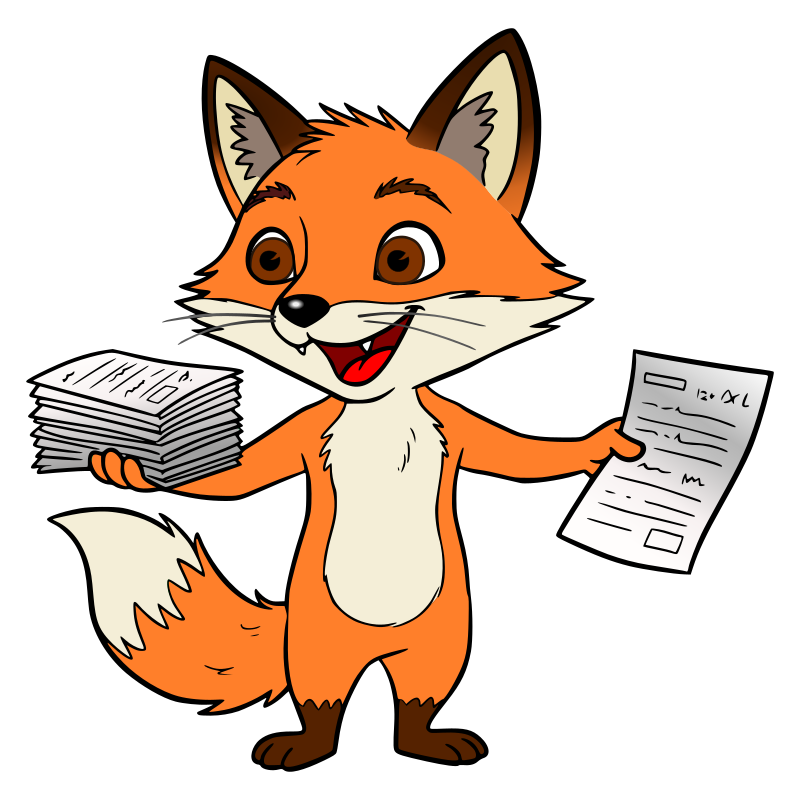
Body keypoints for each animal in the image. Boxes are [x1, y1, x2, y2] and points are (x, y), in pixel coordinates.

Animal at [49, 29, 642, 771]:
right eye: (270, 259)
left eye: (403, 258)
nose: (300, 307)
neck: (378, 413)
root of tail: (375, 646)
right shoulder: (307, 433)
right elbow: (239, 478)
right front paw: (125, 468)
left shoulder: (456, 430)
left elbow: (523, 458)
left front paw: (600, 445)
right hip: (316, 645)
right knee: (323, 705)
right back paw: (305, 748)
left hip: (442, 641)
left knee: (416, 701)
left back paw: (428, 742)